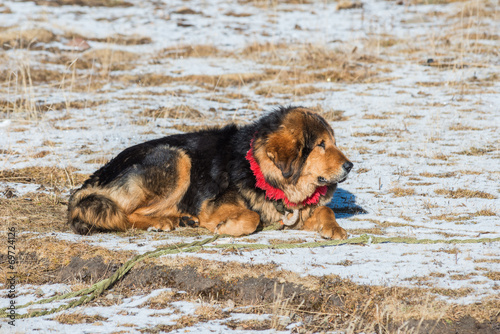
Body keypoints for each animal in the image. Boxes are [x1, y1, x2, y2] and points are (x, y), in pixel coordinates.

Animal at [68, 105, 354, 239]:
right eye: (321, 145)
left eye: (333, 142)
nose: (350, 166)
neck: (261, 171)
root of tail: (97, 176)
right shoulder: (212, 204)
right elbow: (252, 217)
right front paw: (225, 227)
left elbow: (325, 210)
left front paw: (334, 228)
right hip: (177, 158)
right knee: (124, 214)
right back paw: (164, 222)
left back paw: (181, 219)